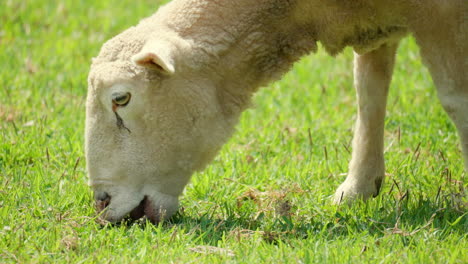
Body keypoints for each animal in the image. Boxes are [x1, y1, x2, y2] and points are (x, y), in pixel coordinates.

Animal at [85, 0, 468, 223]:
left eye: (121, 98)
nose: (101, 204)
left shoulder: (442, 11)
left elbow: (456, 99)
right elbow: (369, 91)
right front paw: (357, 187)